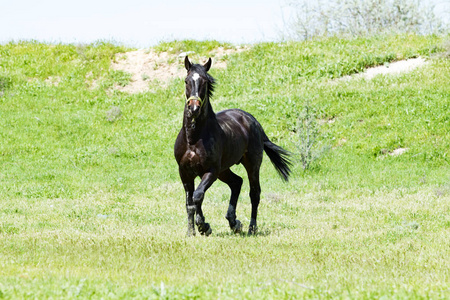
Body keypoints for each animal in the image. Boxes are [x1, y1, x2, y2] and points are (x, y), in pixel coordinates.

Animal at [172, 55, 292, 234]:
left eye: (205, 81)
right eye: (187, 81)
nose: (194, 108)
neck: (193, 139)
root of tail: (252, 121)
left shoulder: (211, 171)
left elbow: (198, 195)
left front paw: (203, 226)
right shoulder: (185, 172)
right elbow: (190, 203)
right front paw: (192, 232)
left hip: (251, 165)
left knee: (254, 193)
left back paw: (251, 228)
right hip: (224, 170)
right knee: (236, 182)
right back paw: (233, 222)